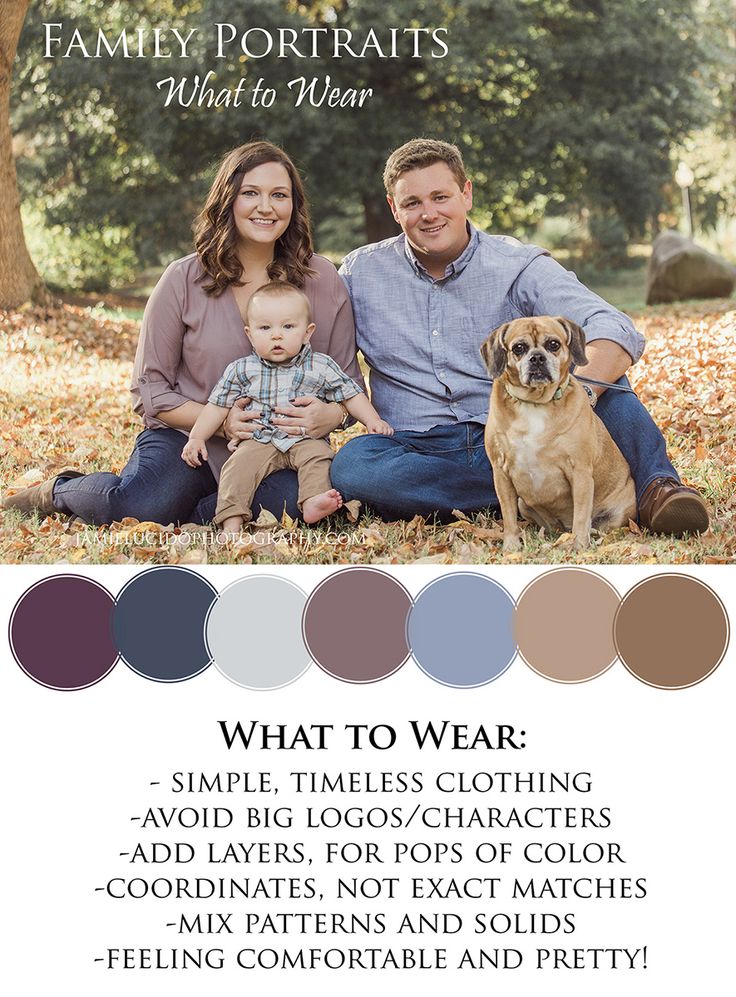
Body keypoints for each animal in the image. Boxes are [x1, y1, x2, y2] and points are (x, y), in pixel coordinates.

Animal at [480, 318, 636, 552]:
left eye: (553, 344)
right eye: (518, 348)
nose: (537, 358)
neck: (535, 402)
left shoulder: (580, 472)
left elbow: (581, 515)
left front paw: (579, 546)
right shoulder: (501, 474)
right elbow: (508, 517)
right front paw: (511, 546)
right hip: (523, 504)